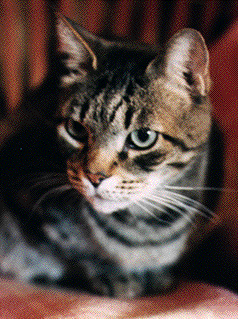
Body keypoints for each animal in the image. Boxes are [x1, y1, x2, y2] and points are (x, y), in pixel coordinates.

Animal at [0, 15, 218, 300]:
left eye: (143, 137)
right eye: (76, 129)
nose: (94, 176)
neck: (145, 229)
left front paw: (156, 275)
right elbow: (79, 252)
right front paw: (112, 275)